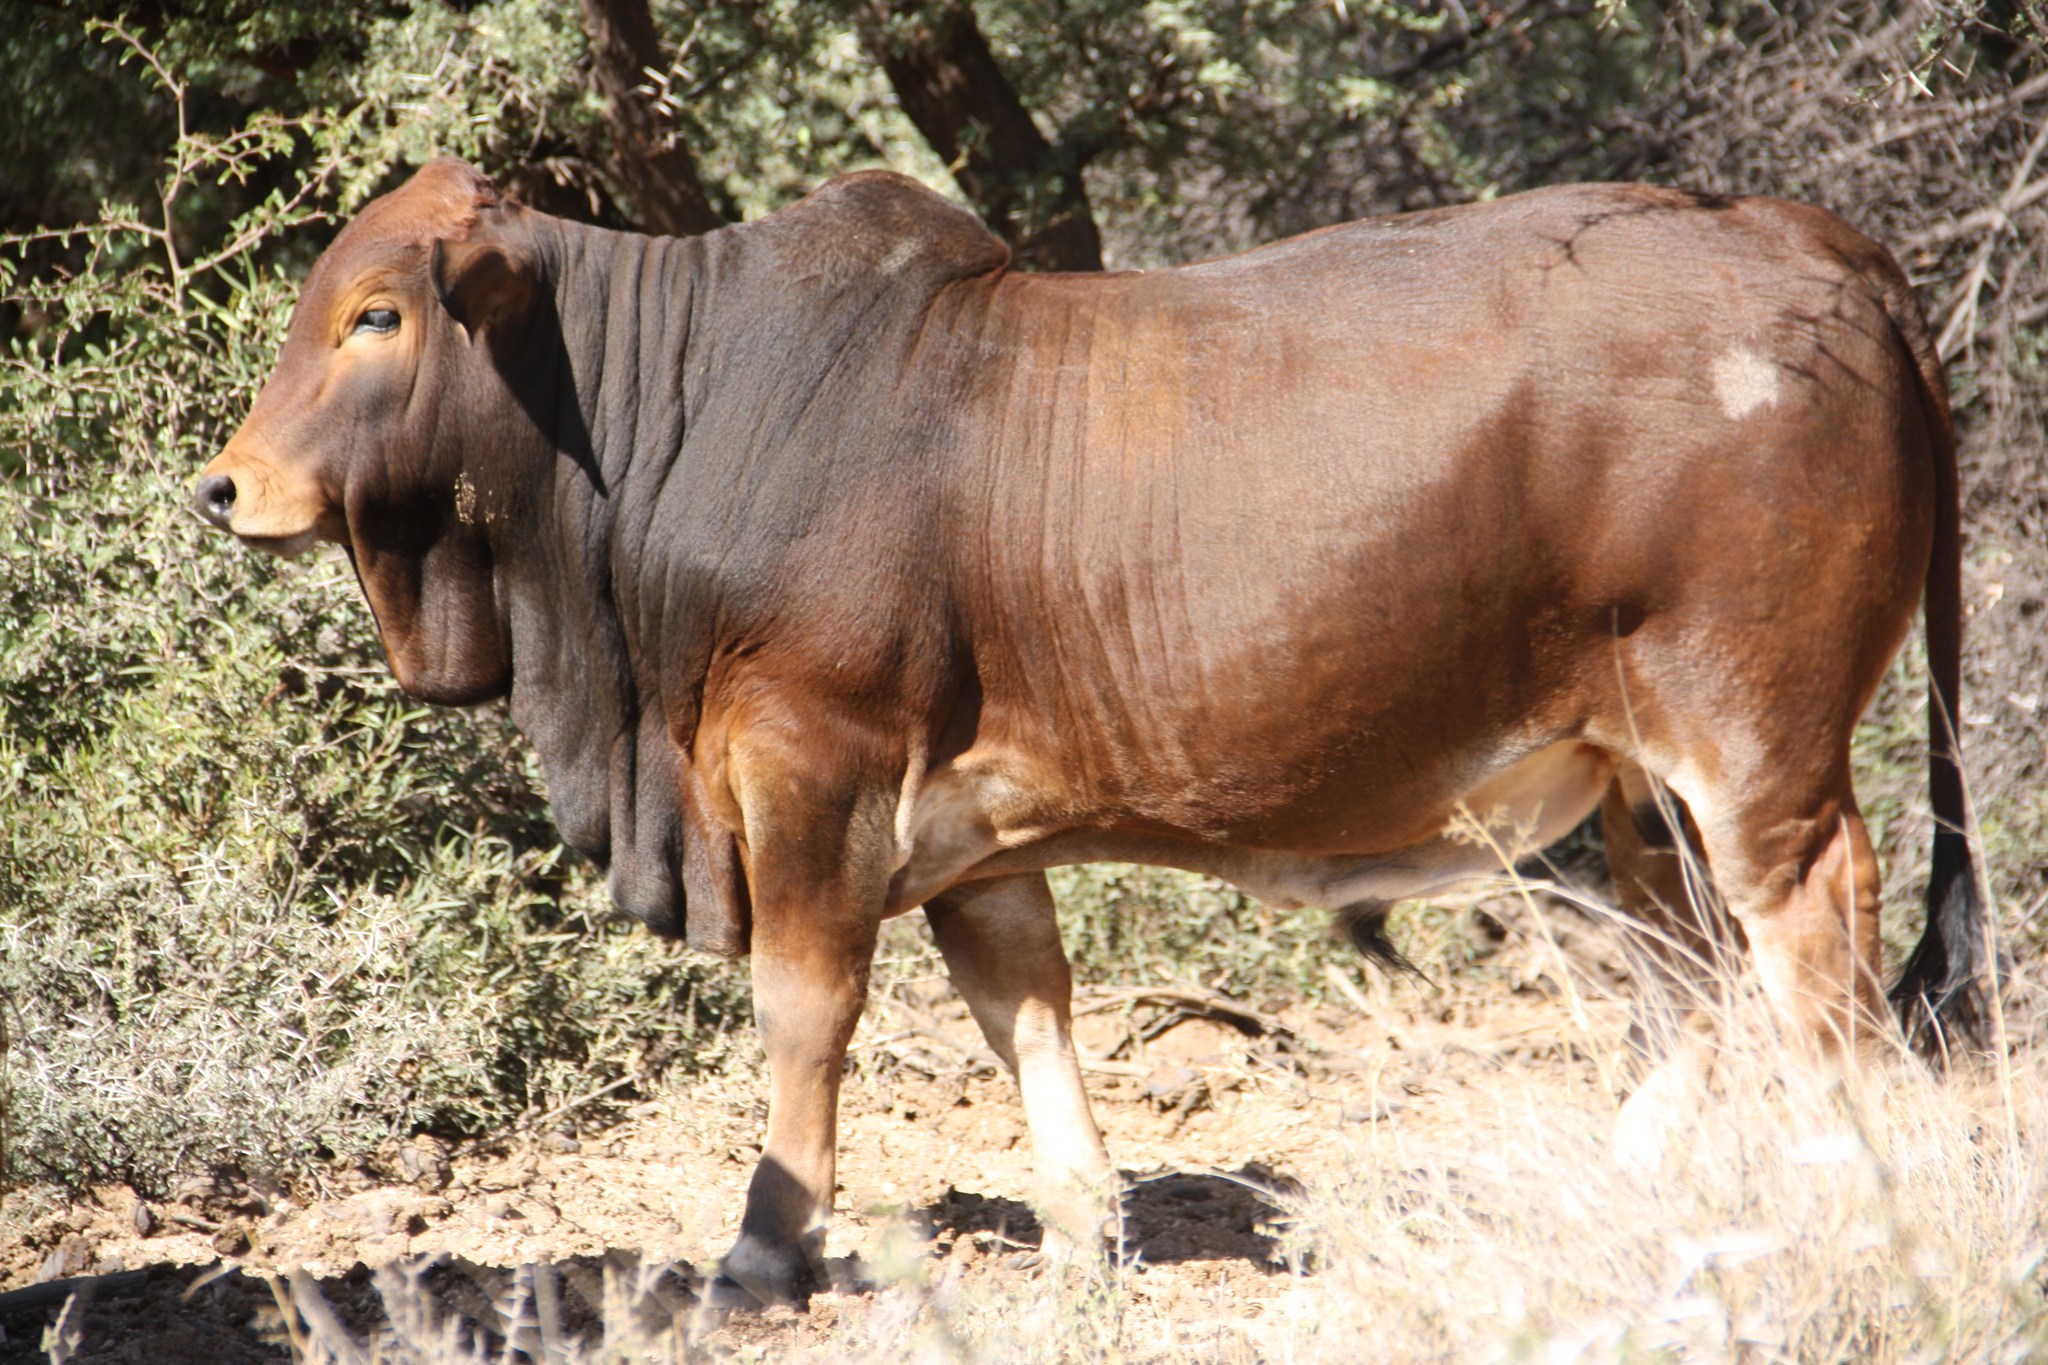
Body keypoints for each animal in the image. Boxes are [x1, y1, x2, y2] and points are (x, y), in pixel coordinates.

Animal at [194, 156, 1987, 1306]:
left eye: (376, 317)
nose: (225, 487)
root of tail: (1818, 245)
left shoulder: (812, 772)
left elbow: (804, 1016)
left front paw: (768, 1245)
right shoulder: (973, 830)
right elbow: (1031, 1017)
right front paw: (1077, 1232)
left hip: (1750, 748)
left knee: (1812, 938)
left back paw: (1837, 1186)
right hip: (1632, 784)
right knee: (1690, 966)